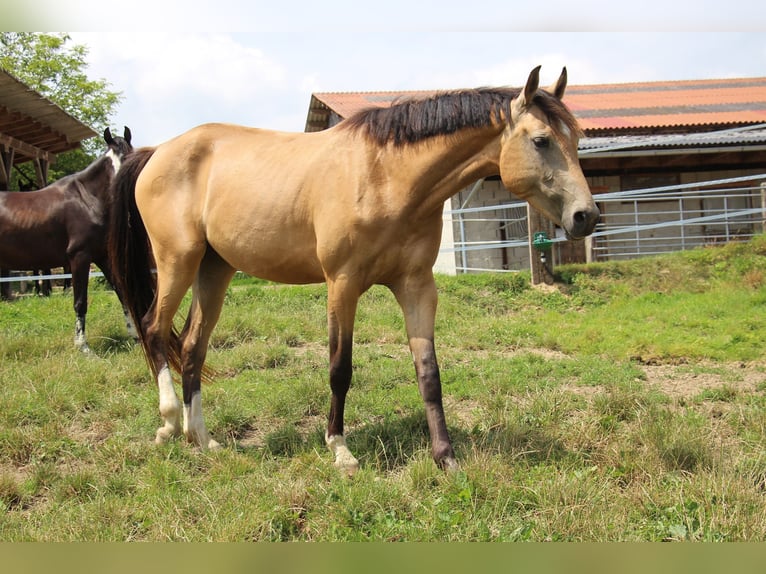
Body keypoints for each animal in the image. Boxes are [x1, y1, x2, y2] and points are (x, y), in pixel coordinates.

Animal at [0, 127, 134, 354]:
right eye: (112, 165)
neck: (86, 200)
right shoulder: (79, 257)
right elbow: (80, 301)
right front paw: (83, 347)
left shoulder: (103, 257)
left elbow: (122, 292)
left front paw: (136, 336)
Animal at [108, 67, 600, 474]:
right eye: (541, 140)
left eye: (576, 141)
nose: (586, 216)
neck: (386, 176)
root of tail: (156, 152)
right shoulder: (342, 285)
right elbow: (339, 368)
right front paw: (340, 449)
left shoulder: (417, 286)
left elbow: (429, 373)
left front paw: (446, 457)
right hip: (177, 261)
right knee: (154, 330)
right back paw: (169, 425)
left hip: (215, 270)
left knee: (192, 347)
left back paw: (203, 439)